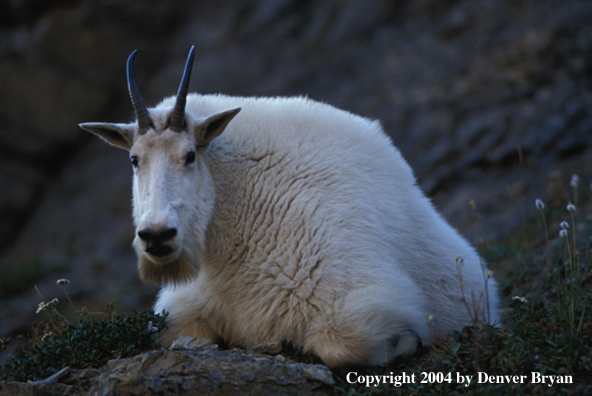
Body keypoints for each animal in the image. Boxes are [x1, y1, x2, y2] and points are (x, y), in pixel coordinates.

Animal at [78, 47, 498, 368]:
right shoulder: (185, 307)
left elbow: (344, 347)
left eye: (190, 155)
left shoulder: (362, 299)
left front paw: (409, 340)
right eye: (134, 160)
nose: (157, 236)